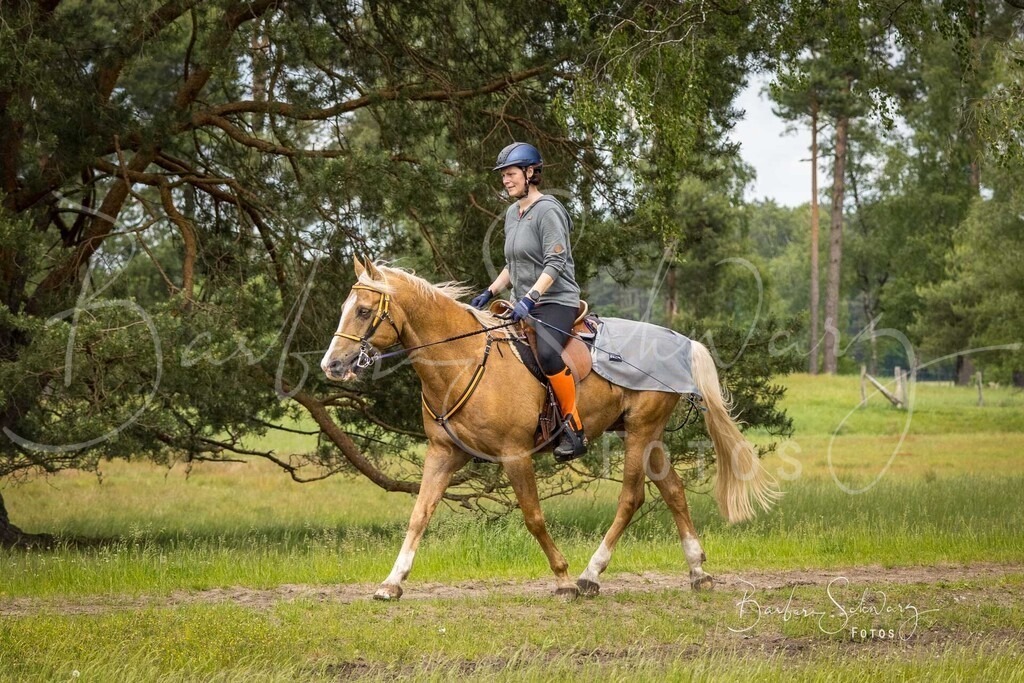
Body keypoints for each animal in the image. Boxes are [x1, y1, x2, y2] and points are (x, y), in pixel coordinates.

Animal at [320, 258, 779, 600]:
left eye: (364, 311)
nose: (332, 365)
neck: (461, 359)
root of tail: (681, 341)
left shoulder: (514, 455)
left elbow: (534, 517)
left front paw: (561, 578)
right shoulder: (442, 454)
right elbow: (419, 515)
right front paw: (392, 582)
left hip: (641, 432)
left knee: (632, 498)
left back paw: (590, 575)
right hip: (647, 435)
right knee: (674, 491)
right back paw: (698, 571)